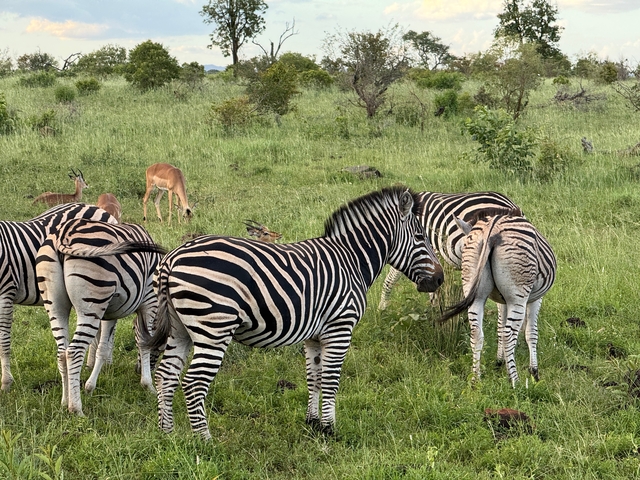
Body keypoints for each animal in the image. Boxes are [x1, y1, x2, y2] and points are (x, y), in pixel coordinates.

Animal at [35, 218, 166, 415]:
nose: (137, 370)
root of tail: (64, 233)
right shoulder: (149, 302)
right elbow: (145, 342)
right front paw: (148, 385)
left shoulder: (110, 313)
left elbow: (103, 348)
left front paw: (90, 386)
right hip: (92, 304)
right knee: (73, 352)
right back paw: (76, 409)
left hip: (55, 304)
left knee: (61, 352)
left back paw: (65, 402)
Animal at [144, 186, 445, 439]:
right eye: (421, 237)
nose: (440, 280)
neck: (352, 260)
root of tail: (172, 257)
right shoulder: (340, 327)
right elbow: (331, 379)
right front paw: (330, 429)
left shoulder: (314, 334)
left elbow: (314, 377)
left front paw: (313, 423)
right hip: (213, 328)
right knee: (193, 382)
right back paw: (205, 442)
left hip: (179, 328)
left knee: (166, 375)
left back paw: (167, 433)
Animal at [439, 208, 557, 386]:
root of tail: (492, 231)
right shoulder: (535, 299)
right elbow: (531, 332)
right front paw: (534, 373)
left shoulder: (501, 300)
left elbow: (500, 328)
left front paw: (499, 362)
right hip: (518, 296)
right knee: (509, 334)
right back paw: (515, 381)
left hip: (476, 293)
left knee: (476, 332)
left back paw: (476, 379)